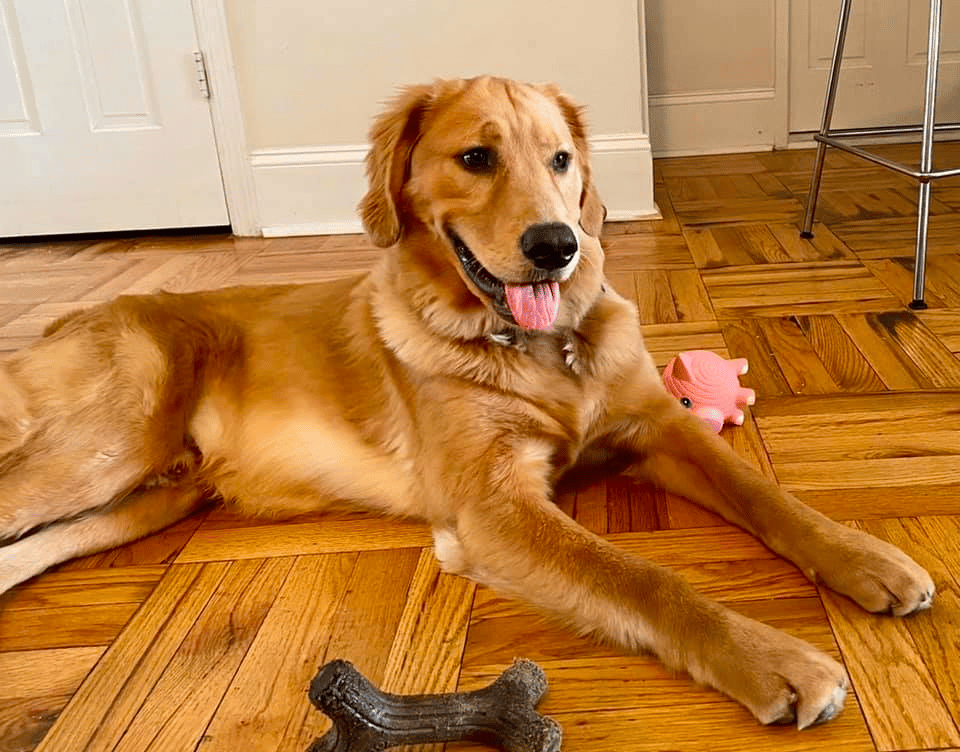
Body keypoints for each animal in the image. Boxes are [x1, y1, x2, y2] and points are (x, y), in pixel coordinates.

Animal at [0, 76, 928, 728]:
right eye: (475, 159)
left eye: (561, 160)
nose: (556, 245)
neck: (535, 350)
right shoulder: (495, 509)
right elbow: (644, 578)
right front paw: (775, 659)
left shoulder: (657, 423)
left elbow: (768, 495)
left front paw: (866, 557)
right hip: (104, 448)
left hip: (145, 497)